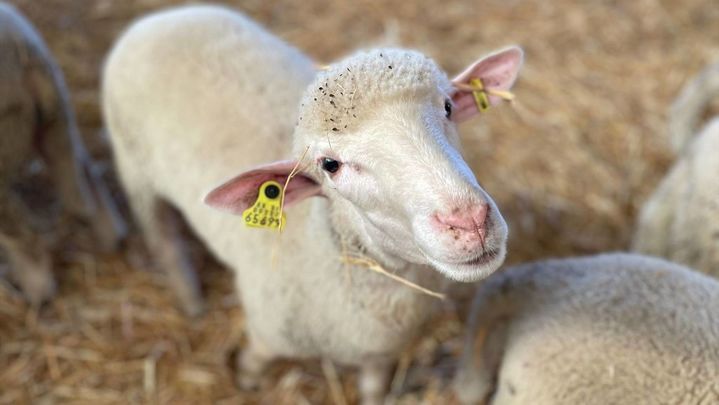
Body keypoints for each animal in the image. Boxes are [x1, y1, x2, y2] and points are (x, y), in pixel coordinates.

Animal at [0, 2, 126, 304]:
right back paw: (112, 239)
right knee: (84, 177)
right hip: (57, 113)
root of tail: (19, 52)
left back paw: (37, 294)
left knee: (23, 233)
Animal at [102, 5, 523, 403]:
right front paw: (246, 381)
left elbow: (373, 389)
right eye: (330, 165)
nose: (470, 220)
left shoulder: (379, 353)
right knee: (164, 239)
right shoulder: (267, 333)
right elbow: (253, 362)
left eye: (449, 106)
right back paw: (190, 301)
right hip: (134, 167)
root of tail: (164, 16)